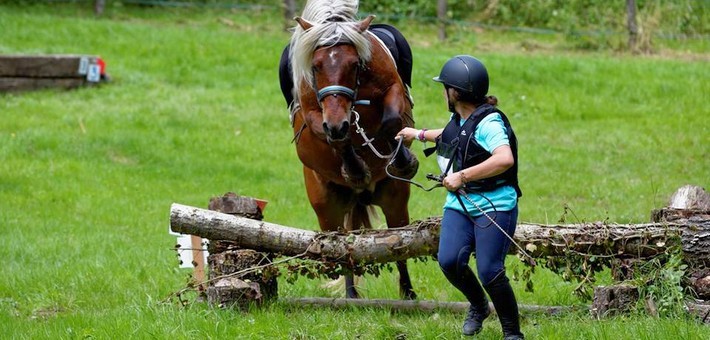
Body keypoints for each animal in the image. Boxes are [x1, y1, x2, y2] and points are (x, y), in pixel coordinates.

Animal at [288, 0, 422, 298]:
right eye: (316, 66)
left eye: (353, 64)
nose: (338, 123)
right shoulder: (315, 114)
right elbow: (338, 139)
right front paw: (356, 170)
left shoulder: (393, 89)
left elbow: (390, 121)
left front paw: (403, 161)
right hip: (328, 212)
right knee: (341, 248)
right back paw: (351, 297)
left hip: (395, 200)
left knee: (400, 243)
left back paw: (408, 294)